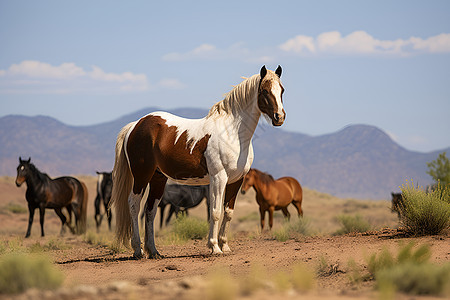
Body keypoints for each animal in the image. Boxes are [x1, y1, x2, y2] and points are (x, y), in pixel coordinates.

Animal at [111, 65, 286, 258]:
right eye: (265, 91)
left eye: (282, 90)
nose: (279, 117)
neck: (233, 133)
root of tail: (136, 125)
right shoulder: (218, 178)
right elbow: (215, 212)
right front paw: (214, 247)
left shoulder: (236, 180)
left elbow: (228, 212)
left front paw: (225, 246)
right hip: (142, 176)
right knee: (134, 205)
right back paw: (138, 250)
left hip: (158, 178)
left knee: (150, 210)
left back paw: (154, 251)